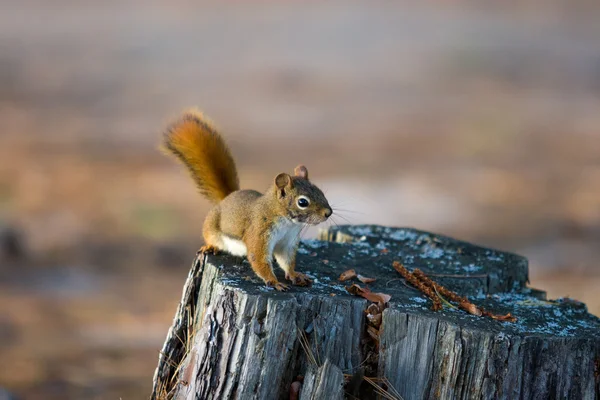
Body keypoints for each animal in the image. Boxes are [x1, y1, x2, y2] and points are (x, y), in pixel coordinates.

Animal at [162, 109, 332, 290]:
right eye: (302, 202)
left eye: (320, 191)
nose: (328, 213)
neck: (287, 222)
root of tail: (227, 198)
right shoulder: (259, 232)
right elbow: (259, 259)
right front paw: (274, 282)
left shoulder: (287, 242)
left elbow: (286, 261)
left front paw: (295, 275)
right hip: (211, 227)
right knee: (211, 237)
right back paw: (211, 246)